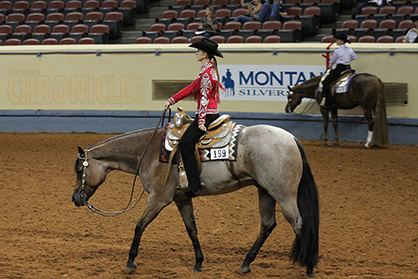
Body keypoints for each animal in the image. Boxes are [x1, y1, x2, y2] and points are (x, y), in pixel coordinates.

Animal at [72, 124, 320, 278]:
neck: (148, 151)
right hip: (265, 191)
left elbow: (139, 226)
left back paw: (309, 266)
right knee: (268, 225)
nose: (75, 198)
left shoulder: (158, 198)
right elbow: (191, 229)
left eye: (79, 170)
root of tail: (292, 139)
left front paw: (130, 262)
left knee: (299, 224)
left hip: (283, 194)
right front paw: (199, 262)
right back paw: (245, 264)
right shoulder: (181, 199)